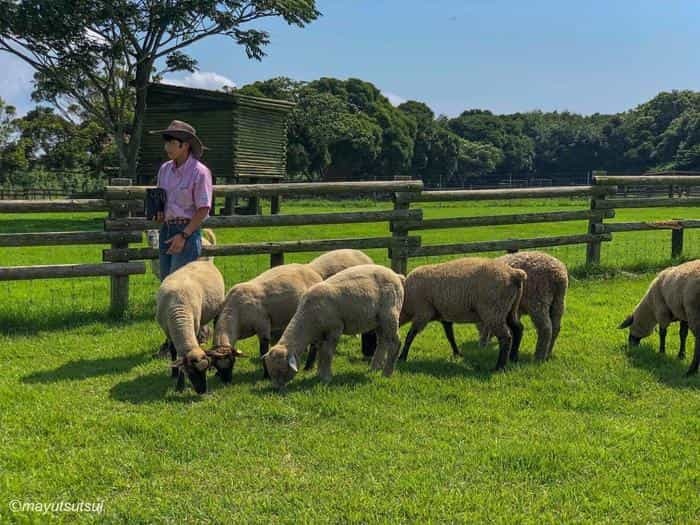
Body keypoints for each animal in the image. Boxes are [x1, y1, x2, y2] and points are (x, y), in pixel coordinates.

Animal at [154, 258, 239, 392]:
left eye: (205, 370)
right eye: (191, 372)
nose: (202, 390)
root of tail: (203, 260)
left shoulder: (195, 327)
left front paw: (180, 385)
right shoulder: (167, 331)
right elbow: (173, 351)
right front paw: (175, 375)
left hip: (217, 307)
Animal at [262, 264, 404, 386]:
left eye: (282, 370)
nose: (276, 388)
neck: (308, 319)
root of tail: (396, 275)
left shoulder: (335, 329)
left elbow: (327, 352)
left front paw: (326, 377)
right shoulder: (320, 334)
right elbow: (321, 352)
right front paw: (319, 374)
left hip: (390, 314)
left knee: (395, 343)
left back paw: (387, 373)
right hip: (378, 320)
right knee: (382, 342)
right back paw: (375, 368)